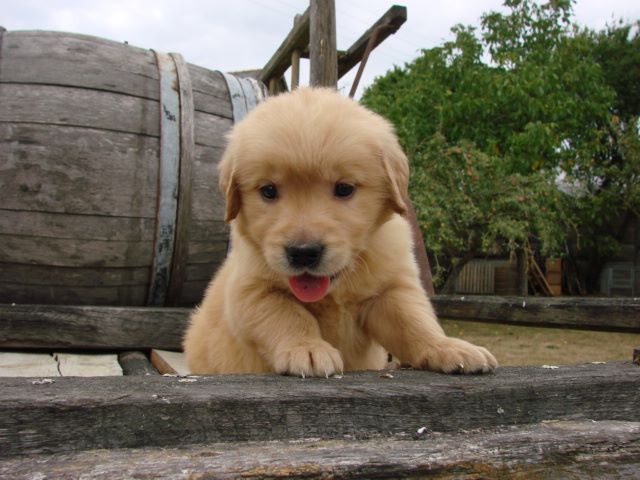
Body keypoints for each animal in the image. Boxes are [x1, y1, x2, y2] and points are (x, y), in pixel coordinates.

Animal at [183, 88, 497, 377]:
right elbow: (288, 314)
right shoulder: (249, 291)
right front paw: (307, 348)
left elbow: (414, 321)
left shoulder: (390, 291)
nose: (303, 253)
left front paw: (447, 347)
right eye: (268, 191)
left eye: (344, 188)